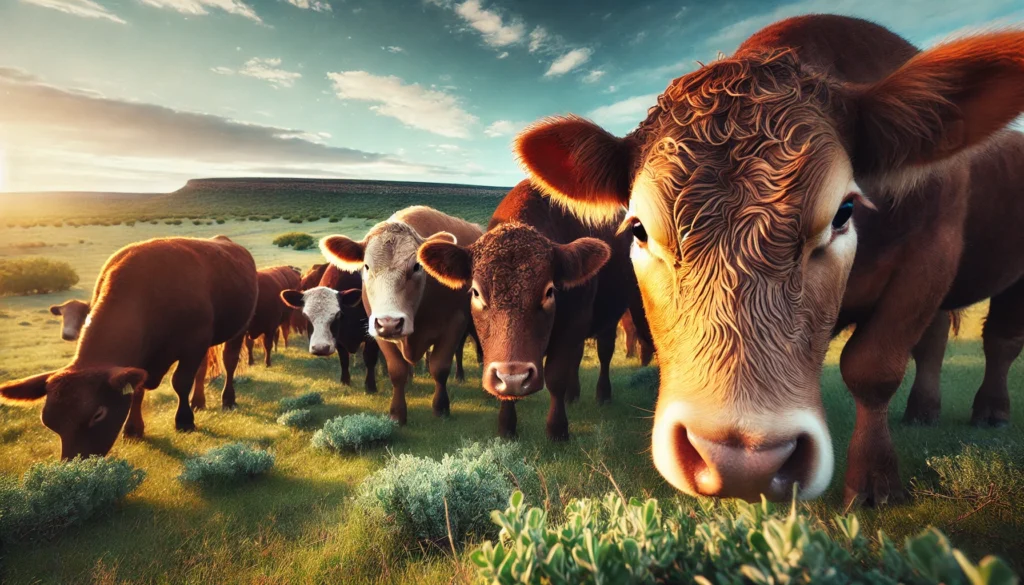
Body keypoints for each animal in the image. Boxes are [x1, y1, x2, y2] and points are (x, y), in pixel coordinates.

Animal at [0, 235, 256, 461]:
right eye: (49, 422)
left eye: (98, 414)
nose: (75, 464)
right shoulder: (140, 362)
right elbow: (136, 390)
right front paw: (133, 428)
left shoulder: (194, 343)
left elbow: (181, 382)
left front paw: (184, 421)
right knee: (202, 370)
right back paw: (199, 401)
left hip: (238, 329)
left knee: (229, 362)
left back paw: (227, 399)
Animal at [278, 264, 382, 393]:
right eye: (305, 315)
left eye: (338, 314)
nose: (320, 348)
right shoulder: (338, 340)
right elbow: (344, 359)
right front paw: (345, 381)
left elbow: (369, 357)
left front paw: (370, 386)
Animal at [321, 205, 485, 426]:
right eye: (366, 266)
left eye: (416, 266)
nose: (390, 323)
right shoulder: (378, 331)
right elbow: (396, 371)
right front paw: (397, 413)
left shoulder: (455, 324)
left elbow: (440, 367)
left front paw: (441, 407)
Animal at [415, 183, 630, 438]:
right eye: (476, 292)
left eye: (549, 291)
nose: (514, 377)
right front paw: (506, 427)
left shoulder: (572, 327)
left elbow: (556, 377)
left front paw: (557, 430)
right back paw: (572, 396)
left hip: (610, 320)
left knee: (605, 353)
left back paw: (603, 395)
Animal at [516, 14, 1024, 508]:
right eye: (639, 229)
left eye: (844, 211)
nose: (741, 462)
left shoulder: (929, 259)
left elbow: (873, 368)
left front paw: (874, 482)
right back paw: (924, 411)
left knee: (998, 341)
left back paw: (991, 411)